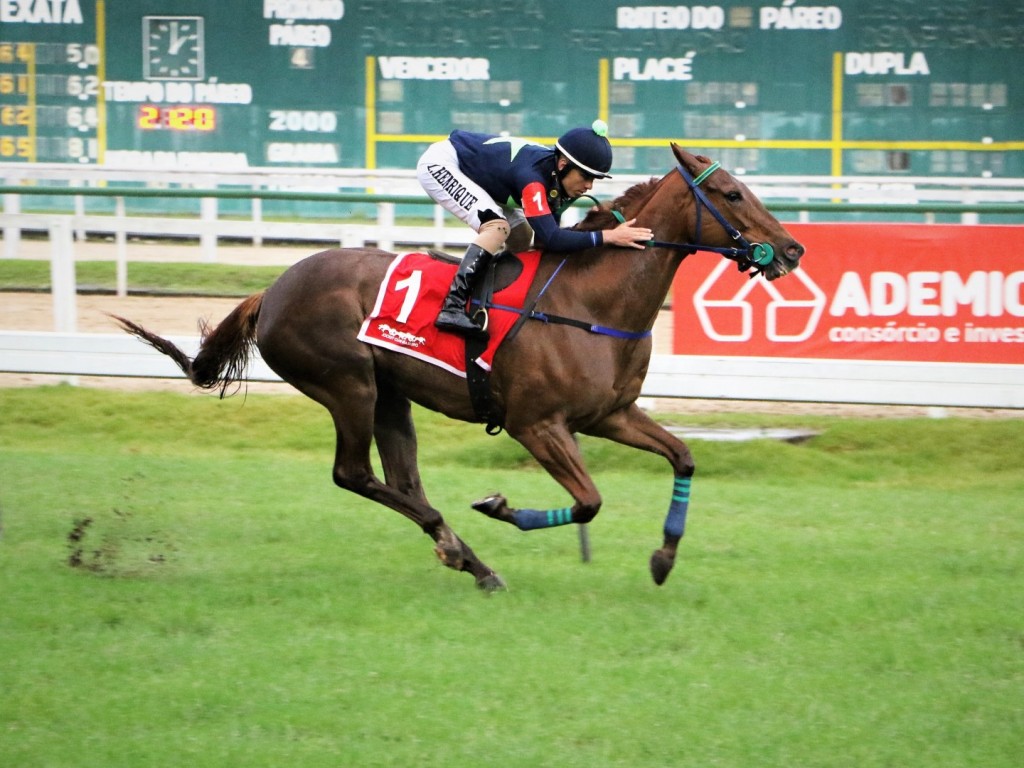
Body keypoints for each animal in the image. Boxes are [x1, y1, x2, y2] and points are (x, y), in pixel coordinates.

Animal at [116, 144, 802, 589]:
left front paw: (663, 558)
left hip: (390, 394)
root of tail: (274, 289)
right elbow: (588, 502)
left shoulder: (611, 415)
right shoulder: (537, 424)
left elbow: (683, 456)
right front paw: (498, 506)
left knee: (401, 480)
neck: (589, 301)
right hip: (348, 385)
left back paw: (465, 556)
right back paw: (462, 547)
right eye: (732, 193)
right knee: (353, 474)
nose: (792, 248)